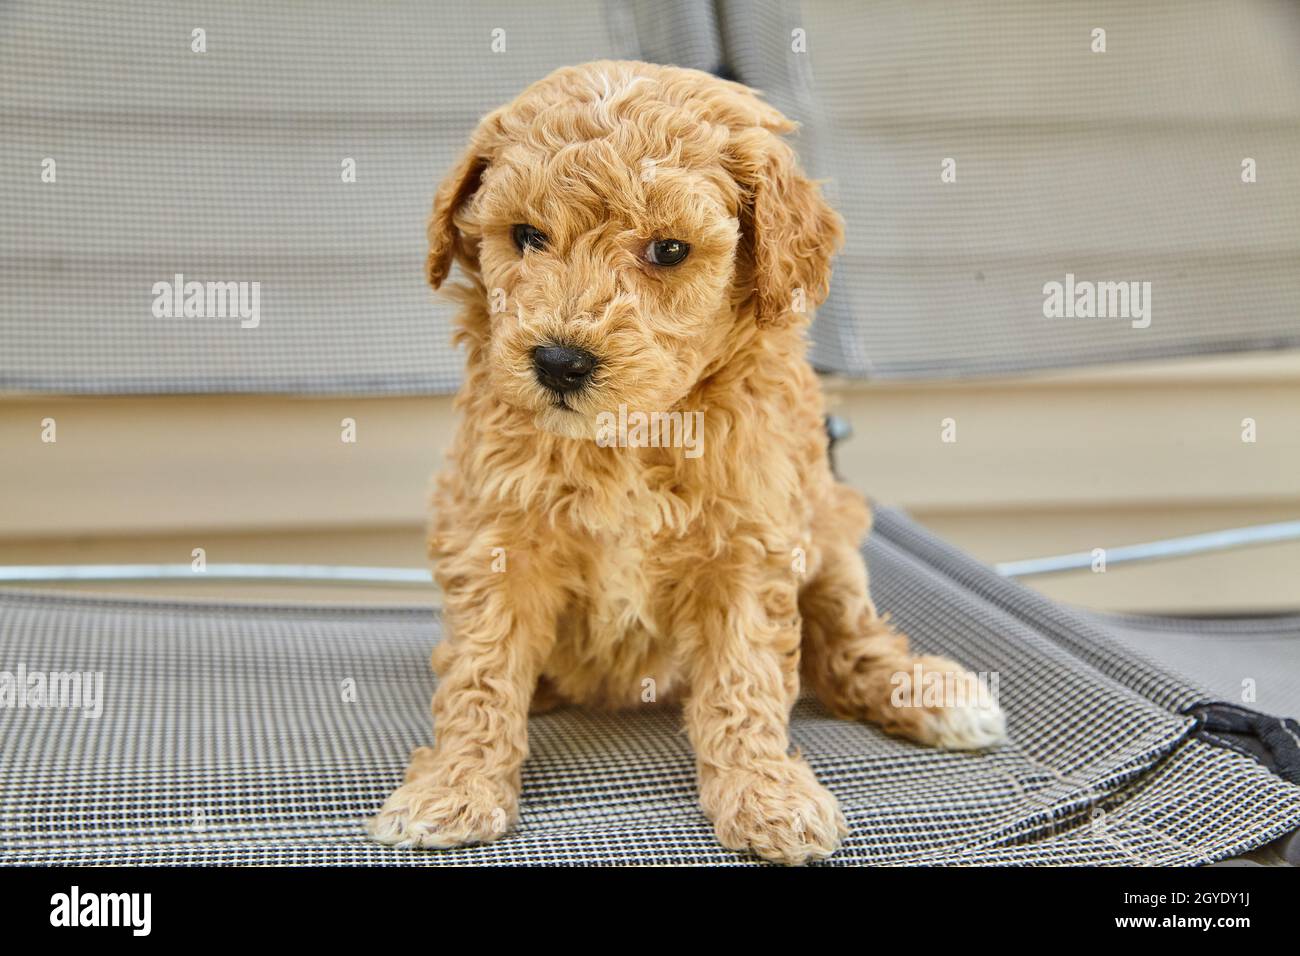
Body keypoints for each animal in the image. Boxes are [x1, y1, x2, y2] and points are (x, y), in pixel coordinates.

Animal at [369, 59, 1003, 868]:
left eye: (668, 250)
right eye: (526, 236)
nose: (560, 362)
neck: (630, 436)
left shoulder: (752, 544)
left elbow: (746, 675)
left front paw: (765, 795)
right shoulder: (495, 532)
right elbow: (482, 669)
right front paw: (455, 786)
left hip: (829, 527)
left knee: (846, 638)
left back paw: (926, 693)